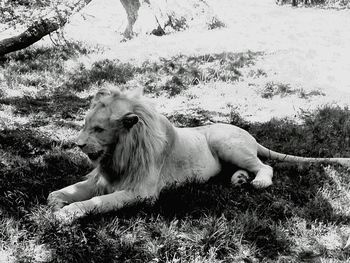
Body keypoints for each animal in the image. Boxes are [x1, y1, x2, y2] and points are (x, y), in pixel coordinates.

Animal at [47, 88, 350, 223]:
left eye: (98, 129)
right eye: (84, 125)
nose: (77, 144)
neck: (117, 152)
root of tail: (249, 134)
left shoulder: (142, 192)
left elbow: (99, 202)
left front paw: (68, 213)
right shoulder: (102, 179)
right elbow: (67, 191)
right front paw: (56, 201)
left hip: (224, 142)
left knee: (266, 166)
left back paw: (258, 181)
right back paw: (239, 179)